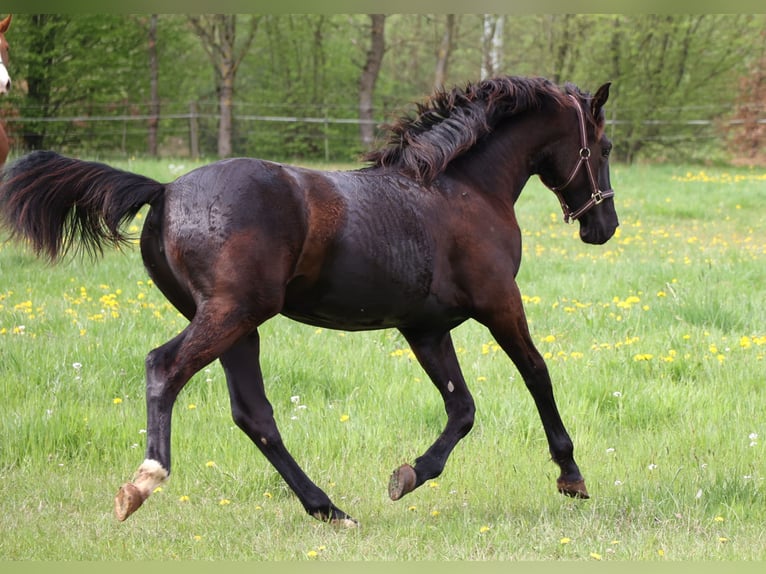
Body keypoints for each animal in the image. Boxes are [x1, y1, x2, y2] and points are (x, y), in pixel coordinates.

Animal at [0, 77, 620, 532]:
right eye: (605, 146)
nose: (604, 225)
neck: (461, 190)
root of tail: (166, 190)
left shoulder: (424, 328)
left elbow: (461, 408)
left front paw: (409, 475)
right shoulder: (499, 304)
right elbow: (537, 374)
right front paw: (571, 475)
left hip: (239, 327)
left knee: (254, 415)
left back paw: (330, 509)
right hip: (230, 313)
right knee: (164, 368)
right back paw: (144, 481)